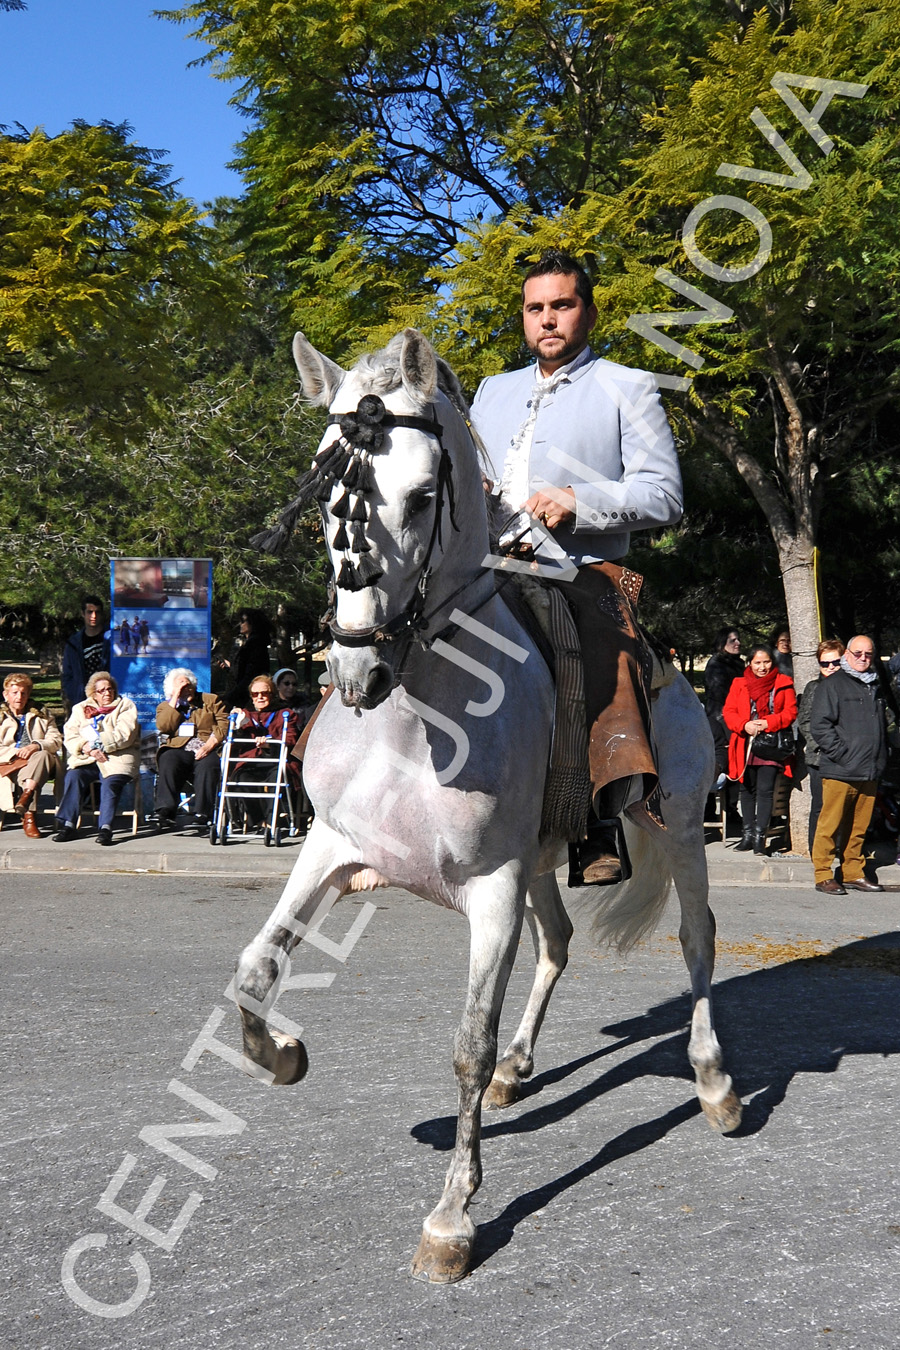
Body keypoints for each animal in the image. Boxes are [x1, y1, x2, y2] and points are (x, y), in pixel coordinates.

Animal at [236, 326, 744, 1285]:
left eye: (423, 495)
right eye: (326, 497)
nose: (355, 670)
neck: (416, 715)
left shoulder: (494, 889)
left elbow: (466, 1045)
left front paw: (452, 1219)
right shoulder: (331, 846)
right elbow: (252, 970)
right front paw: (281, 1056)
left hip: (680, 826)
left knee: (697, 940)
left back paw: (715, 1082)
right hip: (550, 858)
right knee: (560, 942)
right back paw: (523, 1065)